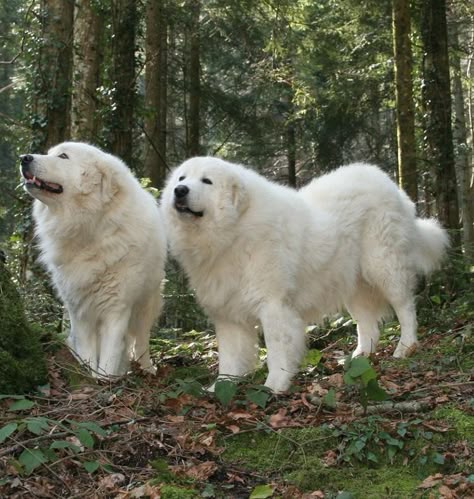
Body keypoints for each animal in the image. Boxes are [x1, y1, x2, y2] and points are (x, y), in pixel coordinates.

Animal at [20, 143, 168, 376]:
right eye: (49, 153)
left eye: (63, 156)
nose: (24, 158)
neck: (91, 228)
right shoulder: (79, 310)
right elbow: (89, 353)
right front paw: (90, 376)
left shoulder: (116, 309)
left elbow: (109, 357)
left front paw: (105, 380)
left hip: (147, 302)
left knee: (142, 339)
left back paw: (147, 368)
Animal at [163, 158, 448, 392]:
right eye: (181, 178)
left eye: (206, 181)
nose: (180, 191)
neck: (233, 230)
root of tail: (387, 182)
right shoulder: (228, 314)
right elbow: (230, 358)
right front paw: (220, 387)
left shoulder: (274, 306)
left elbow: (277, 351)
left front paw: (274, 386)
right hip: (352, 284)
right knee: (368, 325)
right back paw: (359, 357)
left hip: (385, 267)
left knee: (405, 307)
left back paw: (405, 347)